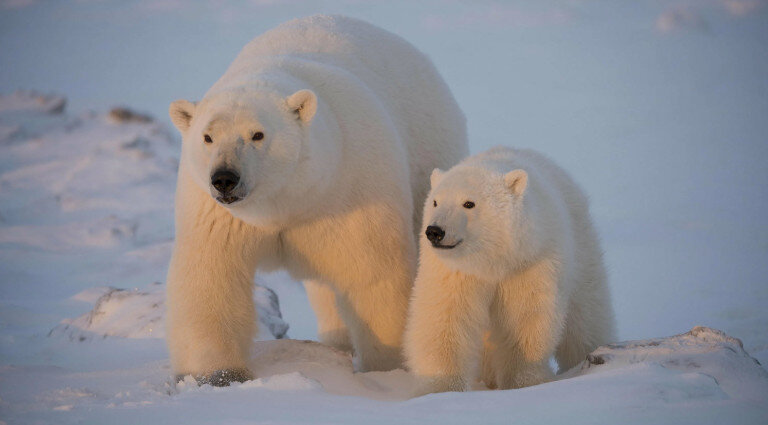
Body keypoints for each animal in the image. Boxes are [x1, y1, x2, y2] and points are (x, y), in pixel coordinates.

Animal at [166, 14, 468, 382]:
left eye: (257, 134)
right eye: (208, 137)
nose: (225, 178)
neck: (287, 202)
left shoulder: (350, 189)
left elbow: (374, 274)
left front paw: (388, 368)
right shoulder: (214, 213)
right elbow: (212, 274)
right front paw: (218, 374)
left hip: (430, 154)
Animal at [404, 147, 616, 394]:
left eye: (469, 203)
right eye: (435, 202)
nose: (435, 231)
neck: (493, 260)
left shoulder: (530, 261)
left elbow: (524, 316)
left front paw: (523, 383)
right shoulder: (455, 270)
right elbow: (445, 315)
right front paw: (440, 388)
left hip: (582, 248)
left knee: (586, 316)